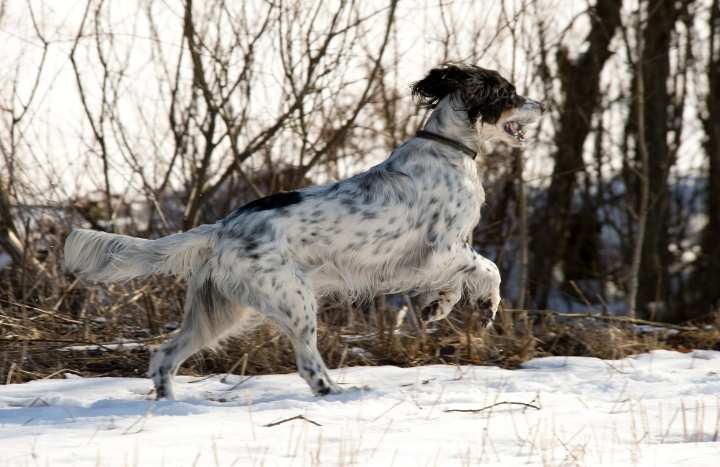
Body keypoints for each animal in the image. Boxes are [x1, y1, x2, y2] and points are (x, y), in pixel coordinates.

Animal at [64, 64, 544, 400]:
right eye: (508, 93)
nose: (542, 105)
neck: (449, 150)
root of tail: (222, 229)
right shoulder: (441, 249)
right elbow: (488, 268)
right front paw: (484, 306)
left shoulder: (440, 255)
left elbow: (458, 279)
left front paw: (437, 309)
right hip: (293, 301)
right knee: (307, 364)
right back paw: (337, 394)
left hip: (218, 310)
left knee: (164, 356)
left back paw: (168, 404)